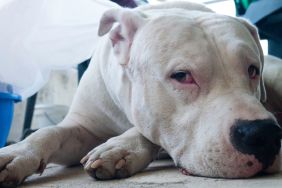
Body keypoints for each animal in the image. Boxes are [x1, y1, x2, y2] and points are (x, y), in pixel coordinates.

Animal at [0, 1, 282, 187]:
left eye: (252, 69)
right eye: (182, 75)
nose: (264, 134)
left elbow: (147, 131)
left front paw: (120, 148)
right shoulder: (83, 127)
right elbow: (48, 132)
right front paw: (16, 153)